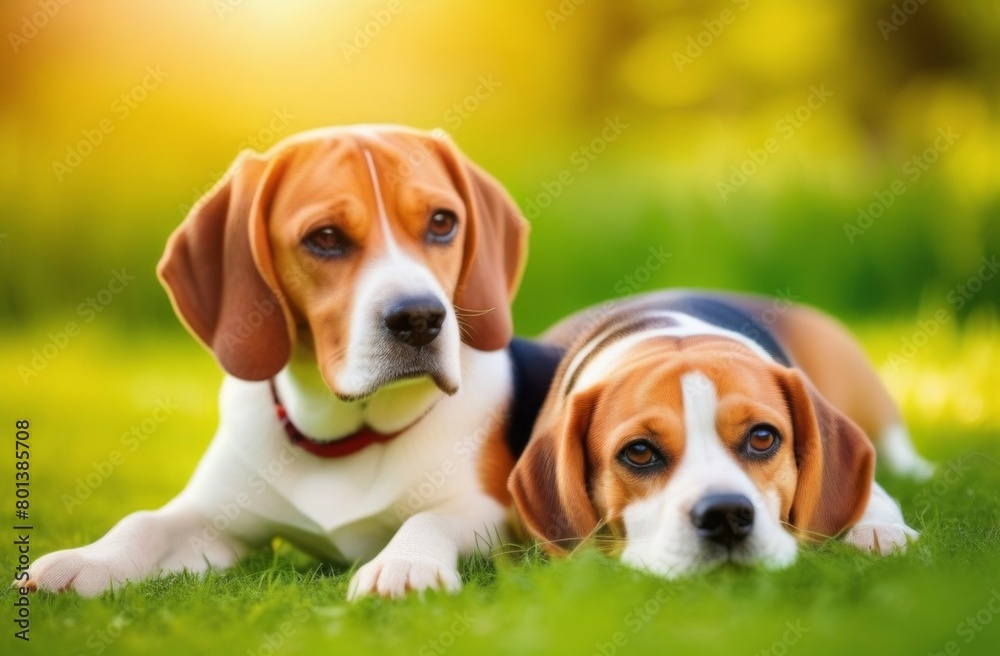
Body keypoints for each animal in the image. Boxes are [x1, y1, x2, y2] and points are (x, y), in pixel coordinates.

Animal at [21, 124, 532, 600]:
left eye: (442, 222)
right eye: (325, 236)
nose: (420, 317)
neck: (343, 437)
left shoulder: (492, 514)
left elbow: (429, 518)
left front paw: (406, 564)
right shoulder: (212, 516)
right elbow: (143, 519)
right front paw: (89, 560)